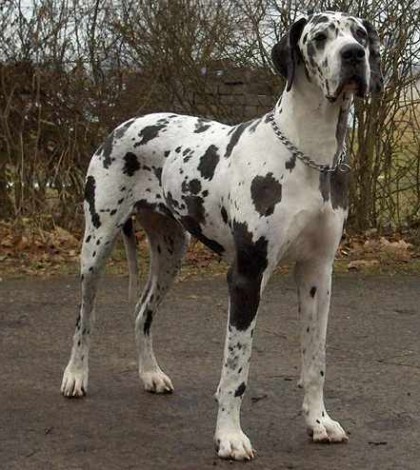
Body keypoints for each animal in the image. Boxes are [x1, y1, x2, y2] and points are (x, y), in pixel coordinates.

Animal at [60, 11, 382, 462]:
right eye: (320, 37)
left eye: (361, 35)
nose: (353, 55)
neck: (309, 153)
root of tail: (125, 123)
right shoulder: (247, 276)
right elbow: (236, 368)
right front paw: (229, 436)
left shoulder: (318, 274)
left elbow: (315, 360)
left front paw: (319, 422)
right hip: (96, 245)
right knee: (83, 316)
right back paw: (75, 376)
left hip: (171, 252)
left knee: (142, 312)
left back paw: (150, 374)